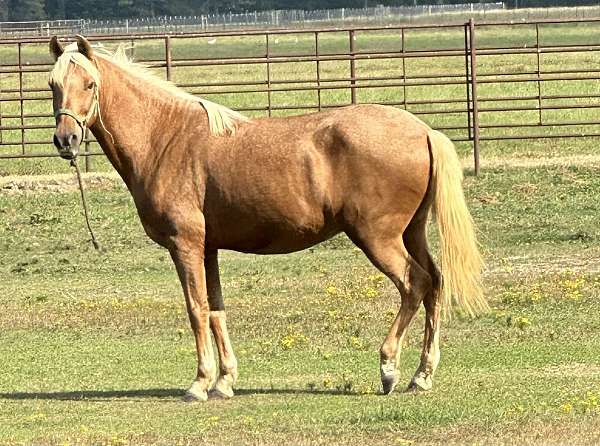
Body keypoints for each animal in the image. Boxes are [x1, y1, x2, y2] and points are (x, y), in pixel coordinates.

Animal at [49, 36, 486, 402]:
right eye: (53, 84)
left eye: (89, 84)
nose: (66, 140)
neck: (166, 138)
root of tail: (423, 130)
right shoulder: (208, 249)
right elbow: (216, 309)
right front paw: (224, 381)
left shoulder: (184, 245)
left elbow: (196, 309)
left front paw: (200, 383)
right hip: (411, 233)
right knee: (435, 284)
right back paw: (421, 375)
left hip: (378, 238)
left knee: (415, 284)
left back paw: (389, 368)